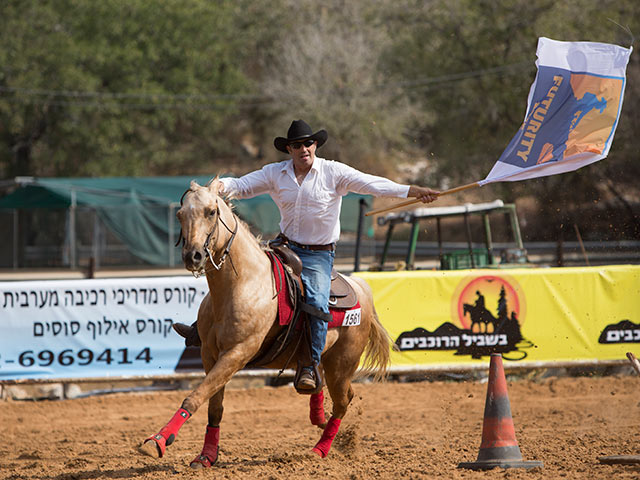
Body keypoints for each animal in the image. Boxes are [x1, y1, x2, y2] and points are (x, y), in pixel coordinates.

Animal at [138, 178, 392, 466]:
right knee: (317, 379)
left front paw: (157, 441)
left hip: (342, 365)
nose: (192, 256)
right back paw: (316, 411)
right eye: (180, 214)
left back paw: (321, 448)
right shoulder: (210, 354)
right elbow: (214, 406)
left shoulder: (237, 353)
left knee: (342, 401)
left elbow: (196, 396)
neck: (241, 285)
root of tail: (360, 287)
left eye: (211, 212)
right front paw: (206, 456)